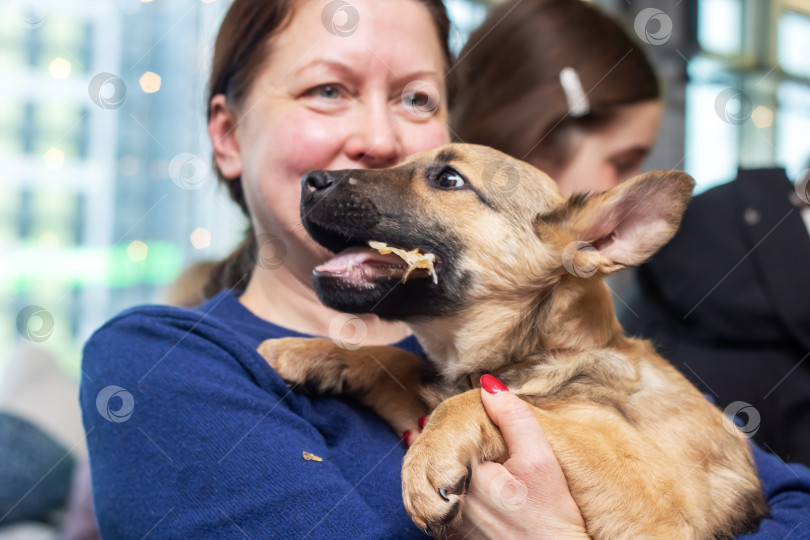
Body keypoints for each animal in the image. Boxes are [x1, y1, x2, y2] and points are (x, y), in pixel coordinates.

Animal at [256, 144, 768, 540]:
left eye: (448, 179)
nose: (309, 180)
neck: (546, 351)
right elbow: (398, 361)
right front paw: (303, 351)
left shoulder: (657, 502)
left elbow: (496, 404)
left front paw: (427, 459)